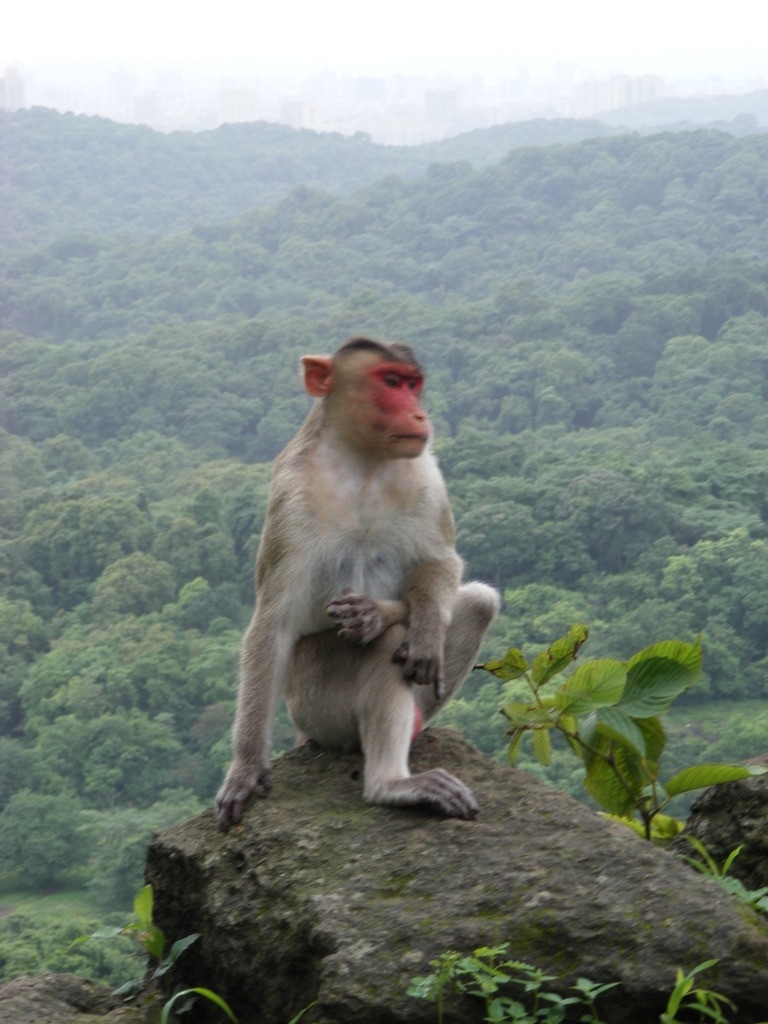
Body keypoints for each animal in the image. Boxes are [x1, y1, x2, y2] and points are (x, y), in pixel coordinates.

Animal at [218, 337, 499, 831]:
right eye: (390, 382)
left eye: (413, 384)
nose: (420, 415)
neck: (362, 461)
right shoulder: (289, 496)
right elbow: (274, 624)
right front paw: (247, 767)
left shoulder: (427, 475)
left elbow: (441, 563)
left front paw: (405, 620)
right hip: (314, 705)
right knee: (384, 650)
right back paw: (390, 784)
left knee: (476, 604)